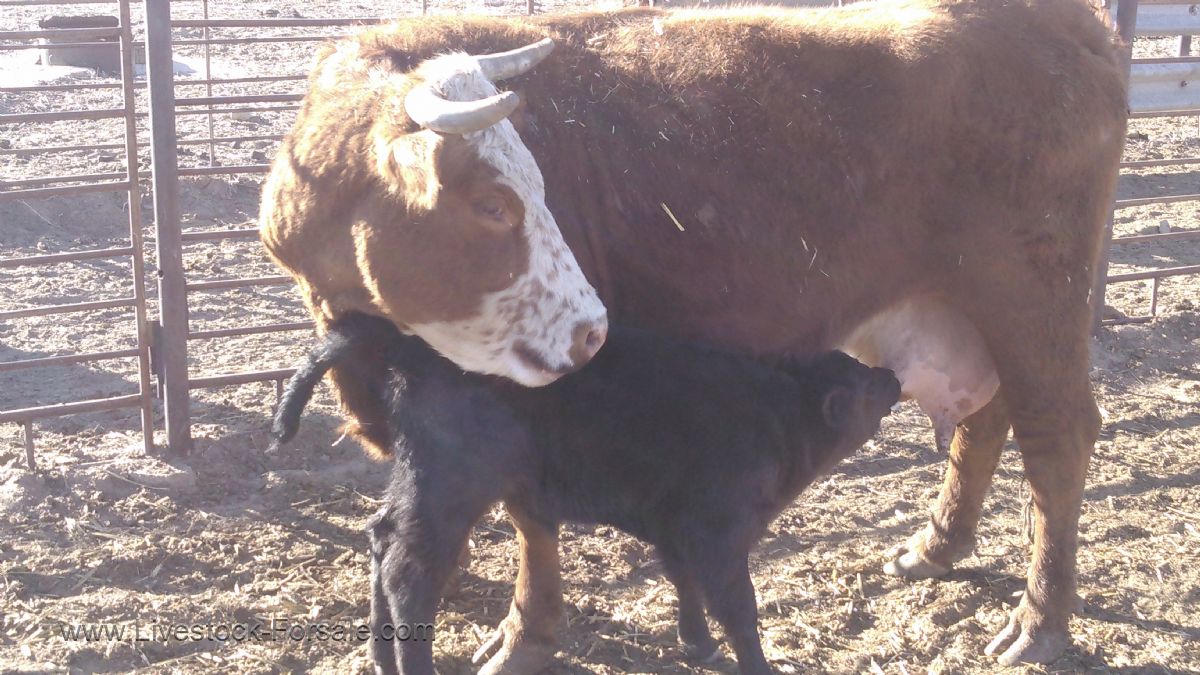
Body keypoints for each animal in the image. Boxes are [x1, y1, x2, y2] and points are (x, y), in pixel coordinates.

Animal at [271, 312, 902, 674]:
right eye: (864, 386)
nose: (893, 375)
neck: (777, 416)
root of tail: (410, 345)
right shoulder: (718, 535)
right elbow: (738, 610)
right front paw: (754, 665)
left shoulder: (674, 527)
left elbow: (685, 585)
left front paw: (697, 644)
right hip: (450, 487)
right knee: (410, 570)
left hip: (418, 482)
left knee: (381, 540)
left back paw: (380, 658)